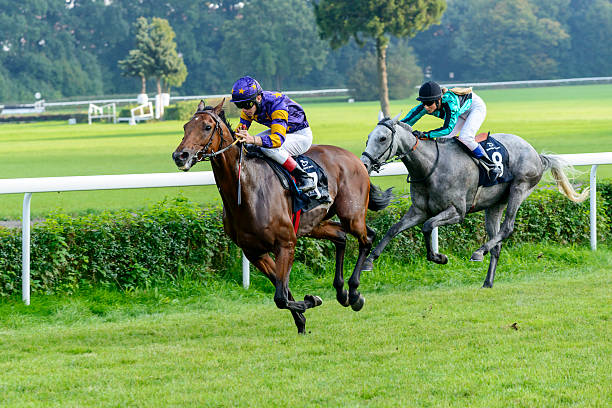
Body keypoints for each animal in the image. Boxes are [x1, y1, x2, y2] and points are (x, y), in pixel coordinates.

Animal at [172, 100, 392, 334]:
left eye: (206, 127)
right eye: (185, 127)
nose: (180, 156)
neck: (247, 190)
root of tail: (356, 159)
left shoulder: (285, 244)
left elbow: (280, 297)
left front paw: (311, 301)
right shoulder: (255, 253)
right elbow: (283, 294)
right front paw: (302, 320)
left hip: (352, 215)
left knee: (367, 238)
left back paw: (354, 293)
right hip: (314, 224)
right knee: (341, 236)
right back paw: (341, 293)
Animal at [358, 113, 588, 288]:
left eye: (382, 138)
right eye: (368, 137)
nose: (364, 164)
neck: (431, 166)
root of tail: (536, 154)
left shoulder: (457, 212)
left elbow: (428, 226)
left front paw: (439, 257)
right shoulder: (418, 210)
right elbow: (394, 229)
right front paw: (369, 261)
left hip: (520, 187)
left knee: (507, 228)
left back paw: (479, 252)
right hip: (495, 205)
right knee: (497, 243)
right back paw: (488, 281)